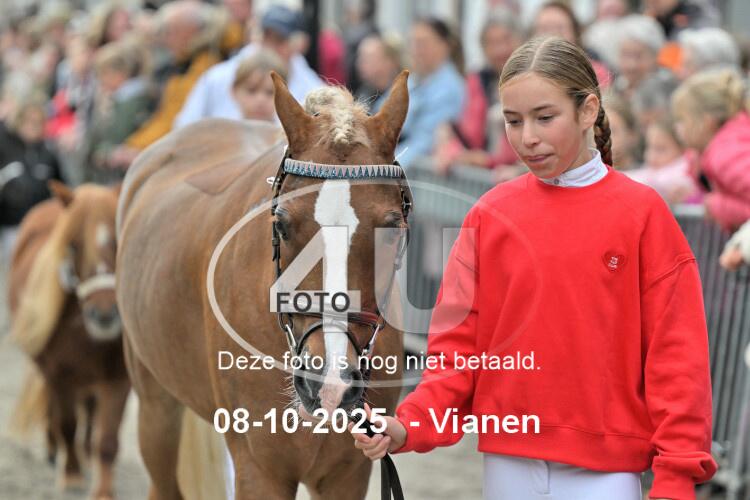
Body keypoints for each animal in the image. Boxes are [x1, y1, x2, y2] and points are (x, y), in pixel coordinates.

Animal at [8, 181, 129, 500]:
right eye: (73, 245)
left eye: (119, 240)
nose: (104, 314)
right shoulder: (58, 374)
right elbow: (66, 423)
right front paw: (72, 475)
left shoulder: (118, 378)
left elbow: (107, 439)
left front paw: (103, 490)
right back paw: (55, 451)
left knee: (90, 411)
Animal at [115, 70, 412, 499]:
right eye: (282, 224)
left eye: (391, 230)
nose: (328, 383)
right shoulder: (261, 470)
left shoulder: (348, 474)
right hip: (155, 403)